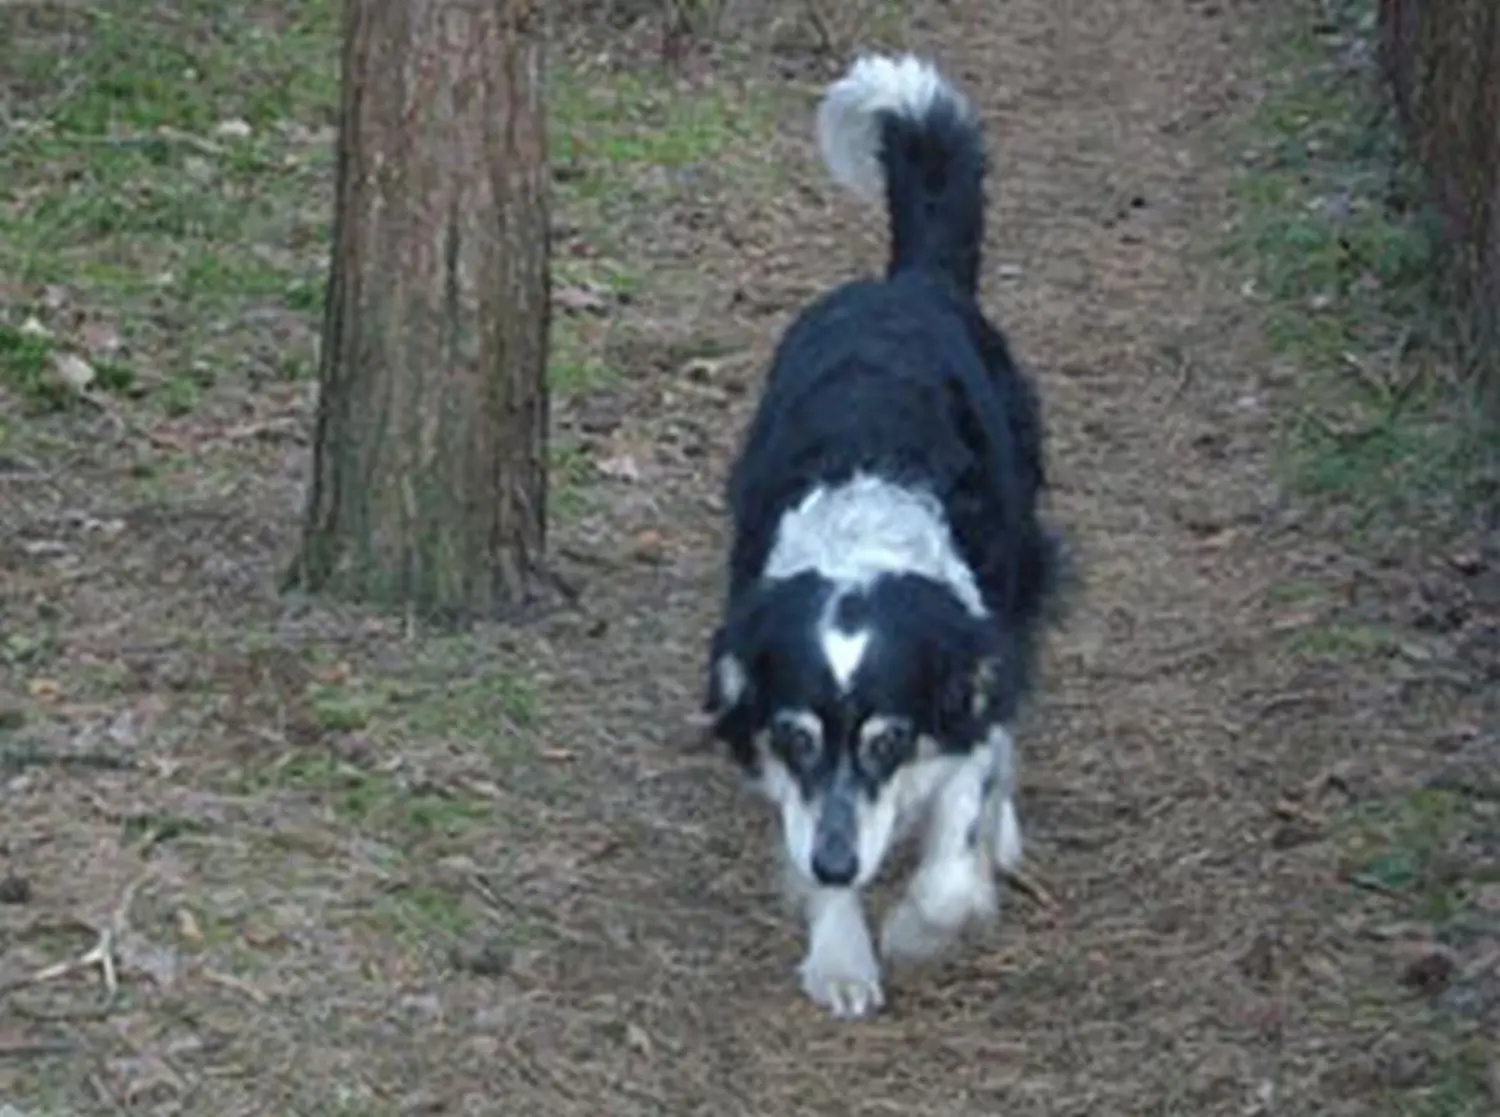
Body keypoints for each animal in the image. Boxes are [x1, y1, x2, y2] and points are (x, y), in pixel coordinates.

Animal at [699, 54, 1062, 1019]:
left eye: (888, 740)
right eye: (796, 737)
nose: (835, 860)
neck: (863, 538)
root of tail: (912, 281)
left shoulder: (965, 674)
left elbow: (956, 842)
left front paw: (917, 927)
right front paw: (841, 955)